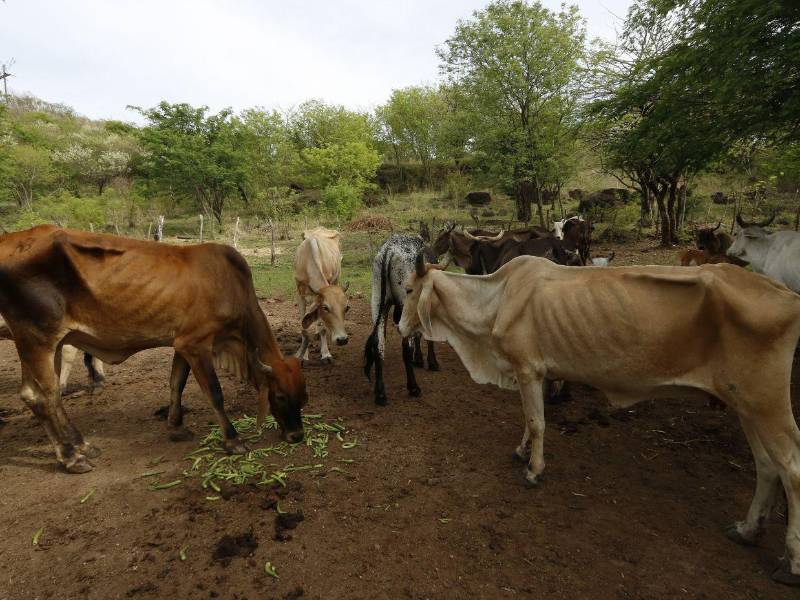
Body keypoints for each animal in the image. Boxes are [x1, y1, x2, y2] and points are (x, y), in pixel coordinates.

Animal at [0, 225, 308, 473]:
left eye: (303, 396)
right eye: (279, 396)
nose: (297, 436)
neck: (230, 284)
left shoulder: (181, 344)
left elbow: (176, 384)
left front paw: (176, 426)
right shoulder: (196, 344)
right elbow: (215, 394)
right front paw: (233, 440)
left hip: (42, 344)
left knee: (36, 395)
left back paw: (82, 445)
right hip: (37, 339)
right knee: (44, 396)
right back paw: (72, 457)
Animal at [293, 227, 350, 365]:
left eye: (346, 308)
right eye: (325, 308)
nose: (342, 339)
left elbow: (322, 327)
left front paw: (326, 354)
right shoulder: (300, 295)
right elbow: (304, 328)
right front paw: (303, 356)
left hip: (336, 279)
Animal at [364, 235, 440, 405]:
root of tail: (389, 250)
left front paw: (419, 359)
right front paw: (431, 362)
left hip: (378, 301)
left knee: (379, 343)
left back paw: (380, 394)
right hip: (405, 304)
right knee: (406, 347)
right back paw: (413, 387)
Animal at [399, 254, 800, 585]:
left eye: (408, 289)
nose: (401, 329)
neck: (496, 300)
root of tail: (786, 294)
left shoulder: (529, 369)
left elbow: (537, 422)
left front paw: (534, 469)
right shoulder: (532, 375)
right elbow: (528, 417)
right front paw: (522, 451)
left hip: (767, 402)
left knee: (791, 468)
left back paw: (791, 562)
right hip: (745, 403)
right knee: (767, 466)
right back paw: (747, 529)